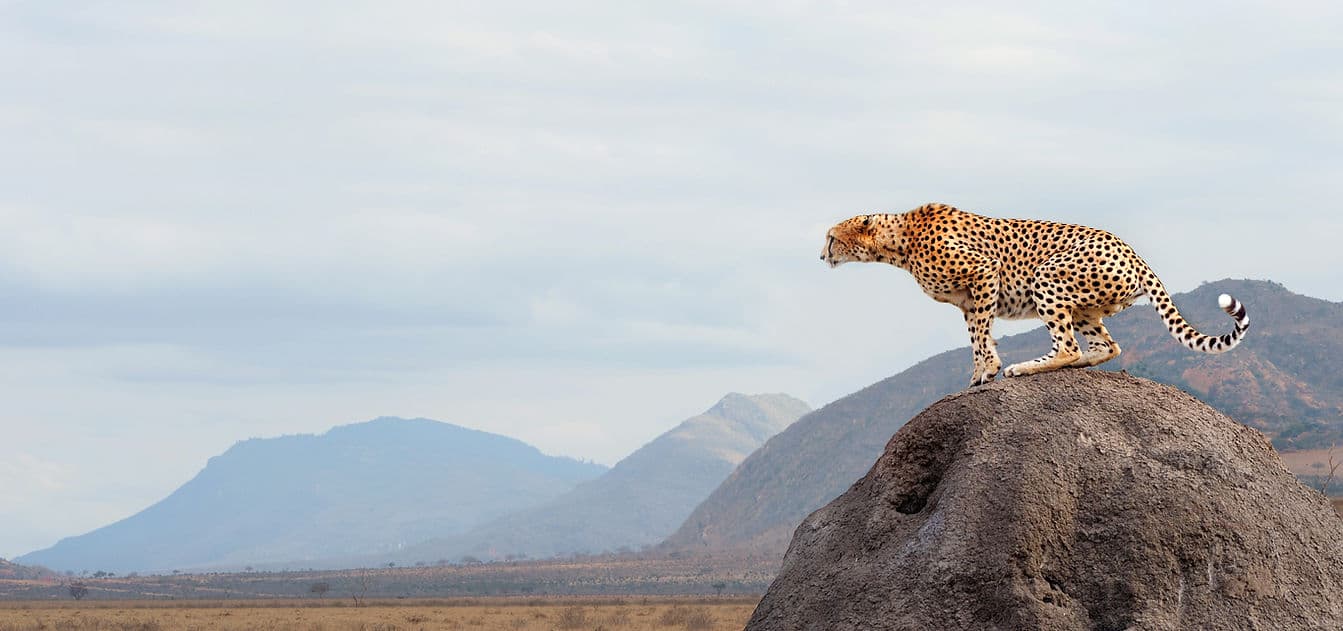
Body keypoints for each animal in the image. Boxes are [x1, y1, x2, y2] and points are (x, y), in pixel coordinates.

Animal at [820, 203, 1249, 387]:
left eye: (831, 237)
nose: (821, 255)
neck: (900, 241)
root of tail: (1132, 252)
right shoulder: (968, 300)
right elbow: (976, 337)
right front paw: (977, 374)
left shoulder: (984, 273)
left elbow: (981, 336)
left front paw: (990, 369)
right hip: (1086, 307)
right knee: (1105, 346)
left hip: (1048, 277)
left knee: (1068, 347)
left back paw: (1026, 367)